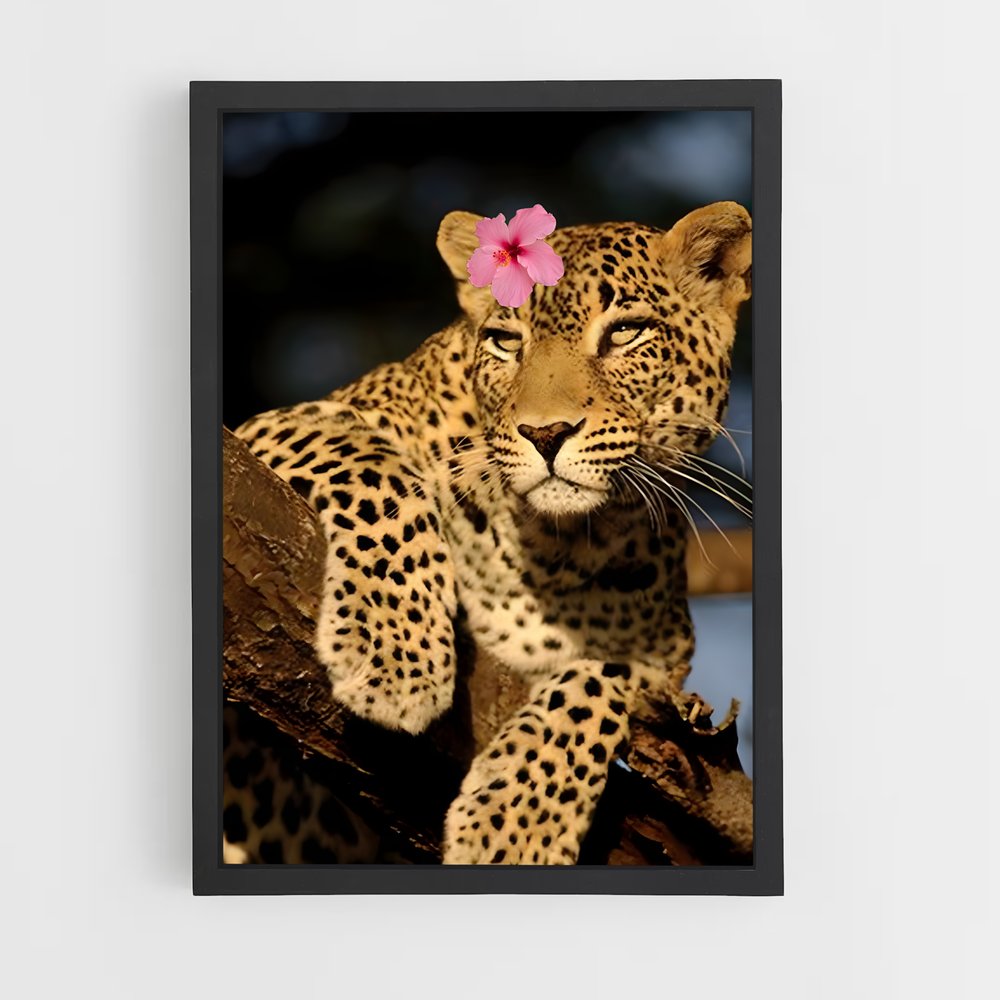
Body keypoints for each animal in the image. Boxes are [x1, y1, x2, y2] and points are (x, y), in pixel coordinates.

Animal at [225, 200, 752, 865]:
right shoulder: (276, 428)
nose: (546, 434)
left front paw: (516, 828)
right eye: (506, 341)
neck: (554, 544)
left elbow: (605, 675)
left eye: (626, 332)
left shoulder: (665, 661)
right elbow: (379, 475)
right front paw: (395, 656)